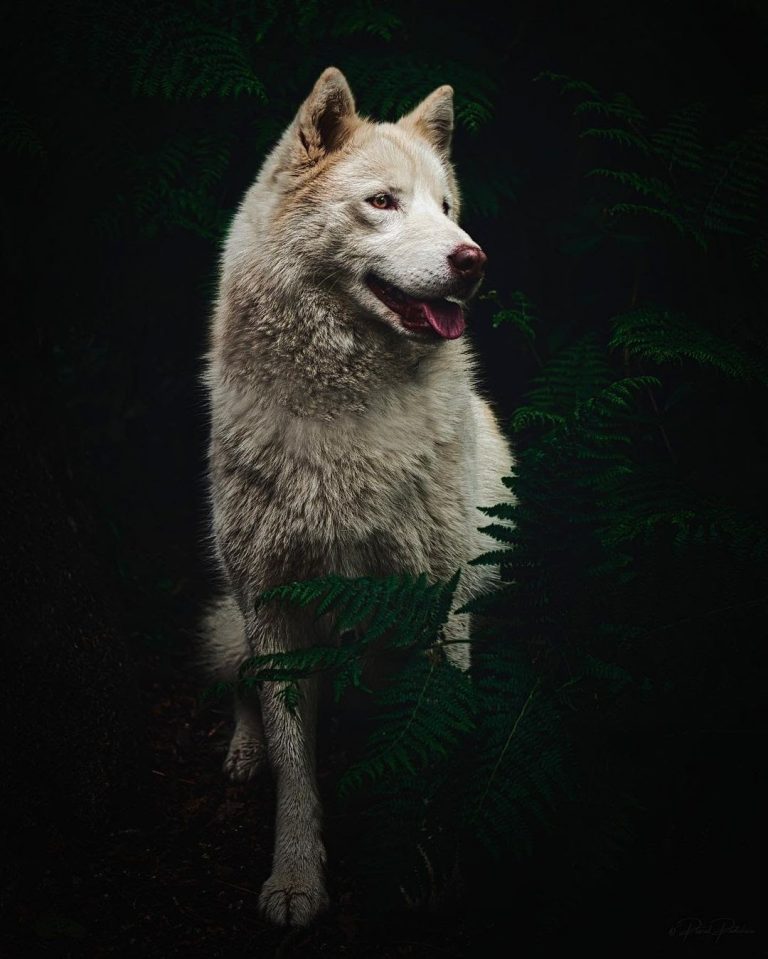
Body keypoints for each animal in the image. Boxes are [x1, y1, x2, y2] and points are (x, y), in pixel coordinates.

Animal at [201, 66, 513, 927]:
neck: (347, 418)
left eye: (447, 208)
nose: (472, 259)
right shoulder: (274, 603)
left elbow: (426, 742)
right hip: (238, 606)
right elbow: (295, 766)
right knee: (238, 679)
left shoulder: (436, 605)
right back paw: (241, 750)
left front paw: (426, 866)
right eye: (382, 201)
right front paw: (295, 880)